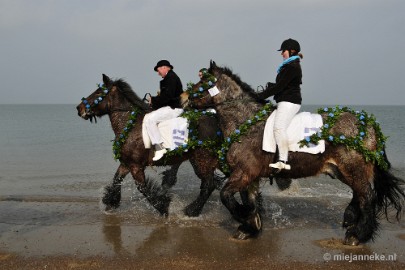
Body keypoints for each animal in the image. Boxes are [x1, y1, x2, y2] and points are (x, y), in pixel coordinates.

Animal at [76, 74, 224, 217]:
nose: (79, 108)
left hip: (201, 160)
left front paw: (163, 206)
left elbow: (143, 188)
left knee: (208, 185)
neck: (130, 124)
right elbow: (116, 180)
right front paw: (110, 201)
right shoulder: (126, 163)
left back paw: (191, 211)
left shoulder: (136, 166)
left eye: (98, 92)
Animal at [182, 60, 404, 245]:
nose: (182, 97)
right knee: (359, 195)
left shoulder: (244, 172)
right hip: (343, 171)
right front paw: (250, 226)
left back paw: (358, 235)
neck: (245, 123)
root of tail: (369, 123)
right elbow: (249, 199)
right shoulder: (249, 176)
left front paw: (245, 218)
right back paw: (350, 220)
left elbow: (226, 195)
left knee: (367, 196)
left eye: (202, 81)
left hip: (354, 168)